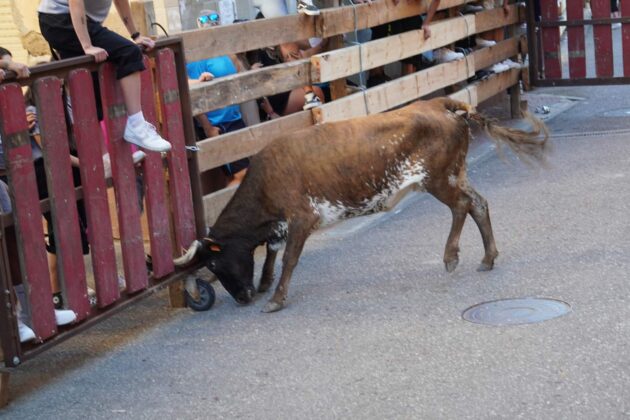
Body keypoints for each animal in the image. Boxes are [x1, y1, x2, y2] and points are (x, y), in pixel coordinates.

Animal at [177, 96, 548, 312]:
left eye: (213, 264)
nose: (242, 298)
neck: (265, 181)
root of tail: (440, 103)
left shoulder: (301, 217)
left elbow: (288, 259)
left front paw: (276, 298)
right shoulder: (282, 224)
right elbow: (271, 251)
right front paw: (266, 283)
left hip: (438, 179)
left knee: (460, 207)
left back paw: (450, 256)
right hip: (457, 174)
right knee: (479, 204)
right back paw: (487, 257)